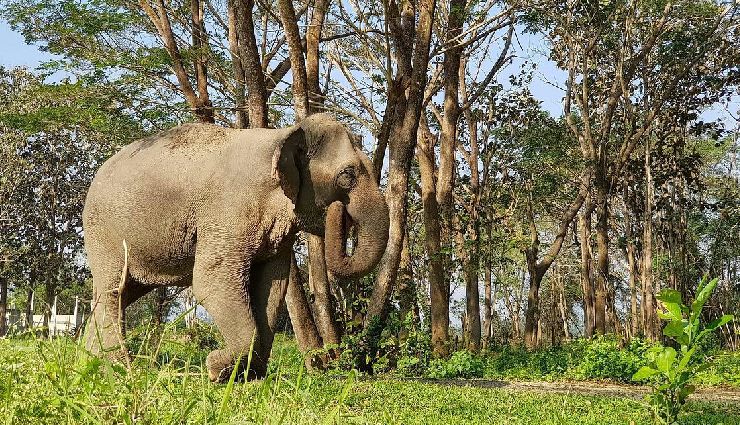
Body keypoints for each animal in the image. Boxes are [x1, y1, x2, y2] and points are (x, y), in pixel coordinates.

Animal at [82, 113, 389, 382]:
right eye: (347, 175)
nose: (339, 211)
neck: (281, 136)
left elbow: (272, 287)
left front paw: (250, 376)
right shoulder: (228, 211)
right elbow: (211, 280)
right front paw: (216, 369)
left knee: (117, 295)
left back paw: (90, 365)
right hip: (104, 234)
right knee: (113, 292)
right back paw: (119, 370)